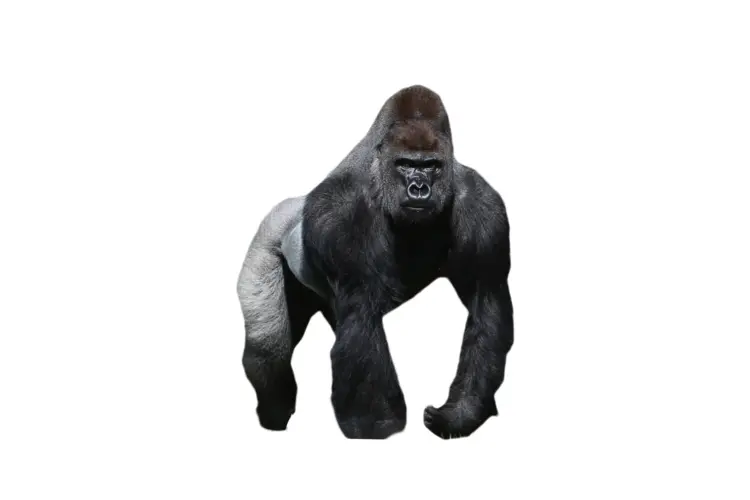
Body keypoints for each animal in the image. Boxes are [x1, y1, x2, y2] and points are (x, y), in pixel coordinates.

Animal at [237, 85, 514, 439]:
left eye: (432, 166)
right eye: (405, 164)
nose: (419, 189)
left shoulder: (486, 208)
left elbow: (486, 304)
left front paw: (461, 414)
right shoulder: (338, 211)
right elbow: (362, 313)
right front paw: (377, 426)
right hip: (266, 237)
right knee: (269, 354)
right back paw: (274, 412)